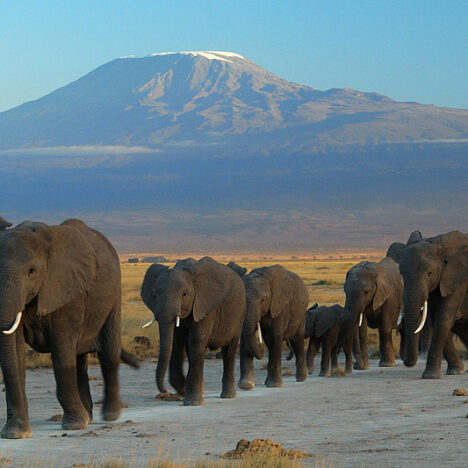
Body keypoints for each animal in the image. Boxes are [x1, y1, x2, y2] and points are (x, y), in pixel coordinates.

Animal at [0, 219, 135, 438]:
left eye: (31, 271)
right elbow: (15, 353)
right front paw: (16, 433)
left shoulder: (69, 291)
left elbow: (62, 350)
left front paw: (74, 425)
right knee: (79, 360)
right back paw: (88, 417)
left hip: (115, 295)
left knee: (108, 354)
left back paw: (109, 416)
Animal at [141, 256, 247, 406]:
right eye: (154, 295)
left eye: (184, 294)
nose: (164, 392)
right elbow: (176, 342)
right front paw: (184, 392)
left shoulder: (205, 306)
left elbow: (196, 342)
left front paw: (192, 402)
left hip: (239, 314)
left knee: (229, 351)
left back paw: (228, 396)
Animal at [398, 232, 468, 378]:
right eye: (401, 274)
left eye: (429, 273)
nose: (405, 362)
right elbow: (434, 318)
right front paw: (456, 371)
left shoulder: (457, 279)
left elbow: (443, 318)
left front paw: (430, 376)